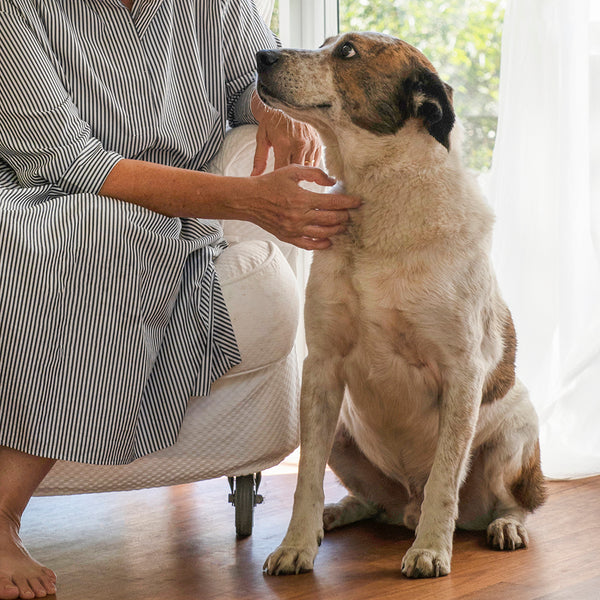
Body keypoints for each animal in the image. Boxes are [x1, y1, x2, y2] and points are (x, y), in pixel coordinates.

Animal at [255, 31, 548, 576]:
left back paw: (504, 526)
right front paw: (296, 544)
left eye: (347, 51)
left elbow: (444, 479)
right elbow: (305, 479)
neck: (380, 195)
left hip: (513, 437)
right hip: (342, 432)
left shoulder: (461, 372)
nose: (263, 56)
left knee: (516, 500)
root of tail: (403, 505)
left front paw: (431, 549)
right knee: (370, 501)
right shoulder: (322, 367)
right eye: (326, 43)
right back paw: (336, 514)